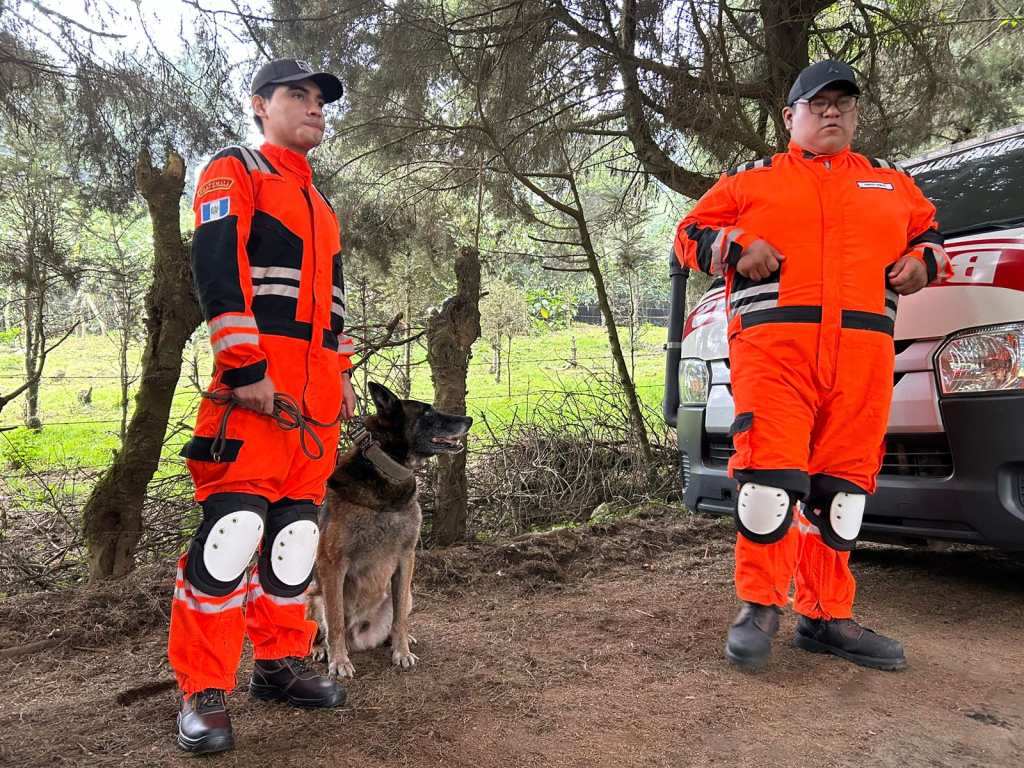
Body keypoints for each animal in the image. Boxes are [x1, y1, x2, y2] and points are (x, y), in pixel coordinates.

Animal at [307, 382, 471, 675]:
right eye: (427, 413)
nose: (469, 419)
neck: (387, 476)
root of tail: (360, 638)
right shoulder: (331, 564)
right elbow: (335, 620)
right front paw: (339, 660)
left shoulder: (407, 557)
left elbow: (400, 619)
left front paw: (401, 650)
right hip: (313, 596)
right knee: (322, 627)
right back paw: (321, 648)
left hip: (407, 595)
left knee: (397, 614)